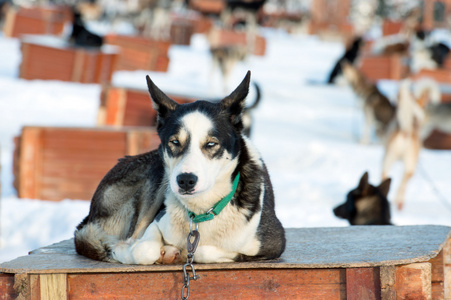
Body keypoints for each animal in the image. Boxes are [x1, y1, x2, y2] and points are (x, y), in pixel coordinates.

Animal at [74, 71, 286, 264]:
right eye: (175, 142)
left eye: (211, 143)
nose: (185, 180)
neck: (201, 211)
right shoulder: (157, 221)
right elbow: (143, 249)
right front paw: (128, 250)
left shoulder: (273, 243)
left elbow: (203, 251)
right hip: (156, 180)